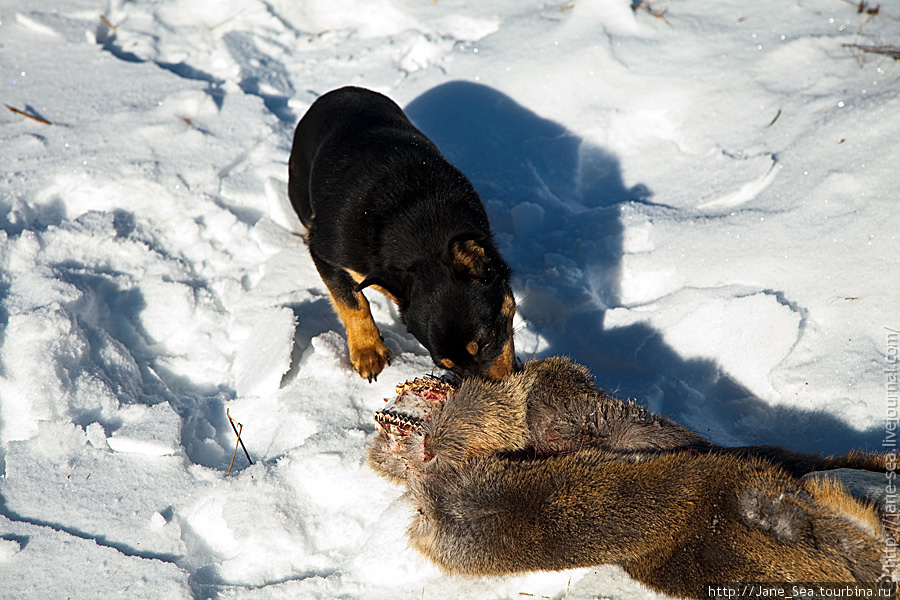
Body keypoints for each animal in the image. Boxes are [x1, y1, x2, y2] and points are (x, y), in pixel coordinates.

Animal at [288, 86, 512, 382]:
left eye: (486, 342)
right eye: (447, 366)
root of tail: (338, 92)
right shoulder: (325, 254)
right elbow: (353, 302)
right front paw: (368, 350)